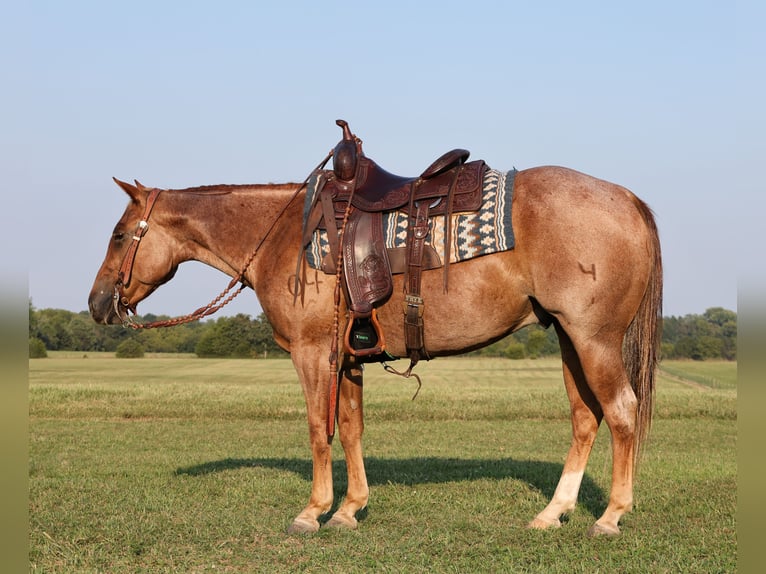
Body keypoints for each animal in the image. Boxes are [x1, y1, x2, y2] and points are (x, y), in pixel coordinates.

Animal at [90, 153, 664, 540]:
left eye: (119, 235)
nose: (97, 303)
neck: (284, 236)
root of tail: (626, 198)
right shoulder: (347, 357)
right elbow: (350, 429)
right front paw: (348, 510)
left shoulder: (312, 353)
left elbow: (318, 431)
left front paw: (312, 512)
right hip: (569, 338)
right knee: (585, 418)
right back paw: (552, 513)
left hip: (594, 340)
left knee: (621, 411)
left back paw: (610, 516)